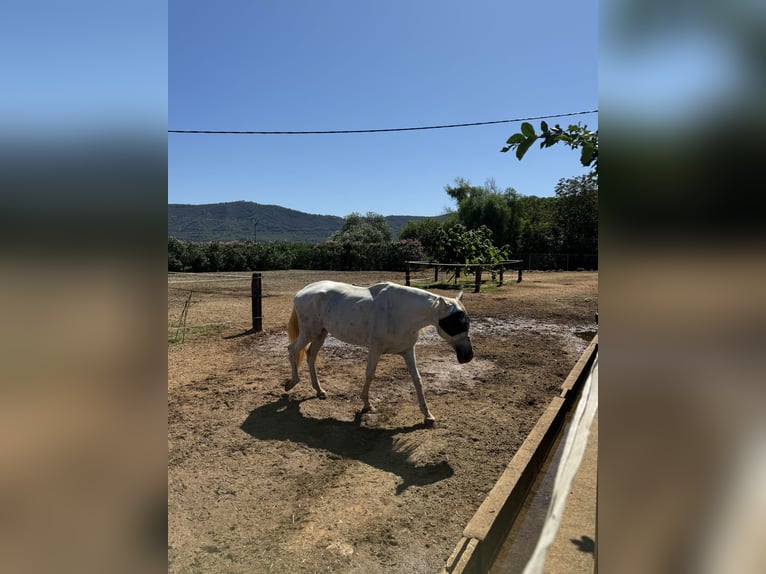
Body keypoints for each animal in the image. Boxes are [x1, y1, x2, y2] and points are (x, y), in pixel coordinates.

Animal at [286, 280, 474, 428]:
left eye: (467, 322)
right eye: (454, 323)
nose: (468, 356)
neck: (400, 313)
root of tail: (302, 292)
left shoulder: (407, 351)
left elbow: (417, 380)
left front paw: (428, 415)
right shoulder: (375, 349)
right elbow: (370, 374)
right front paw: (367, 405)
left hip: (321, 334)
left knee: (310, 356)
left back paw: (319, 390)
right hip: (309, 333)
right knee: (292, 350)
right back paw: (291, 383)